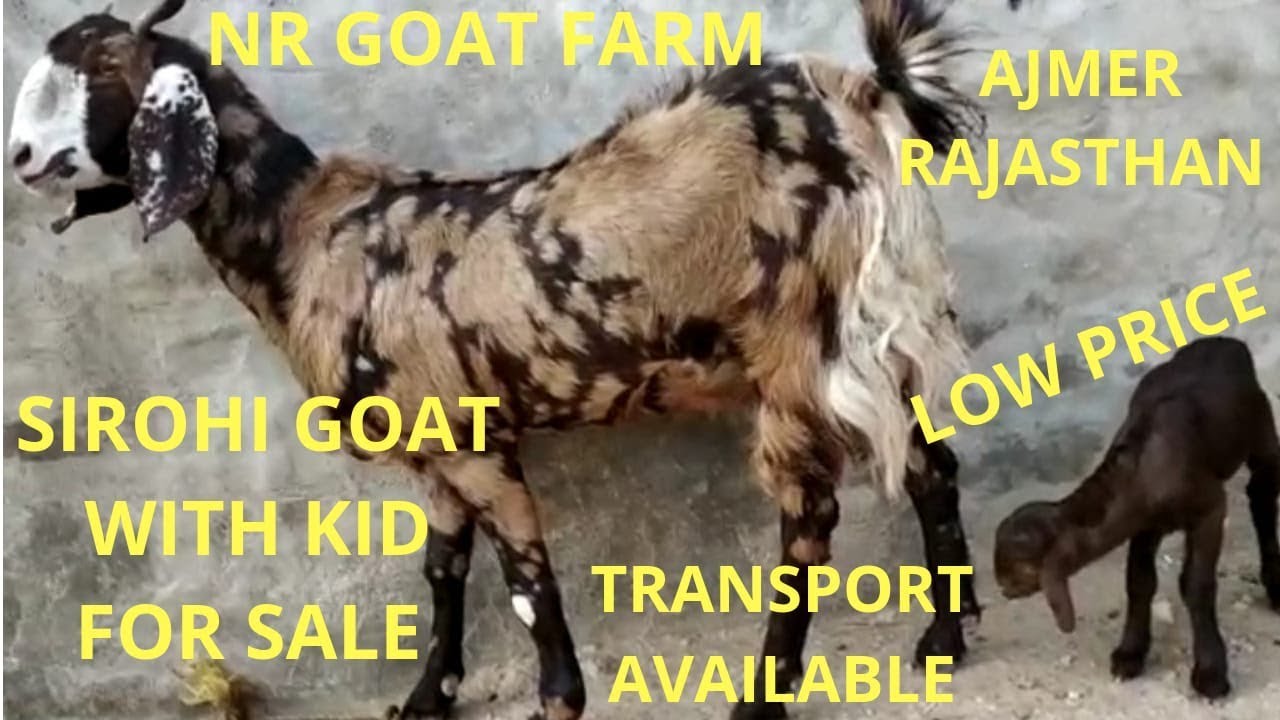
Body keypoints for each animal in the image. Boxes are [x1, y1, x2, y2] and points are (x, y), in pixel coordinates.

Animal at [8, 0, 985, 717]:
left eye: (103, 71)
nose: (20, 156)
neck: (306, 232)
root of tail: (860, 93)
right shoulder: (431, 451)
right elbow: (444, 573)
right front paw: (425, 700)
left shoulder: (475, 443)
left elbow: (526, 585)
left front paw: (559, 701)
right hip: (877, 329)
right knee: (930, 465)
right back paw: (945, 639)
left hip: (797, 345)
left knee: (809, 517)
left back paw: (761, 700)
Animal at [994, 336, 1280, 700]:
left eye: (1018, 569)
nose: (1001, 587)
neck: (1140, 469)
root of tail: (1226, 341)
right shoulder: (1143, 525)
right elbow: (1139, 581)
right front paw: (1129, 654)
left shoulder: (1209, 508)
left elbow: (1196, 584)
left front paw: (1211, 674)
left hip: (1261, 427)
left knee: (1262, 495)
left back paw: (1276, 583)